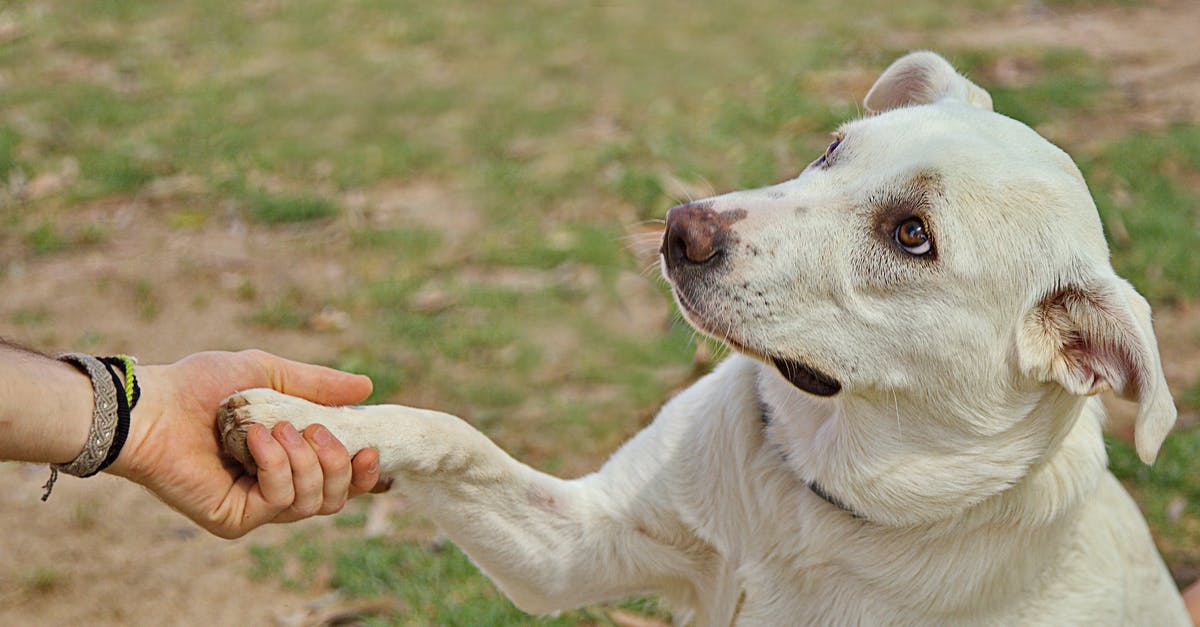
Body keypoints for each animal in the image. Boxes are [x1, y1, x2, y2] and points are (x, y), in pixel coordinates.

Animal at [218, 51, 1190, 619]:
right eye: (832, 149)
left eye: (912, 234)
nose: (680, 226)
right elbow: (451, 433)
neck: (814, 501)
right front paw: (309, 420)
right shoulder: (574, 550)